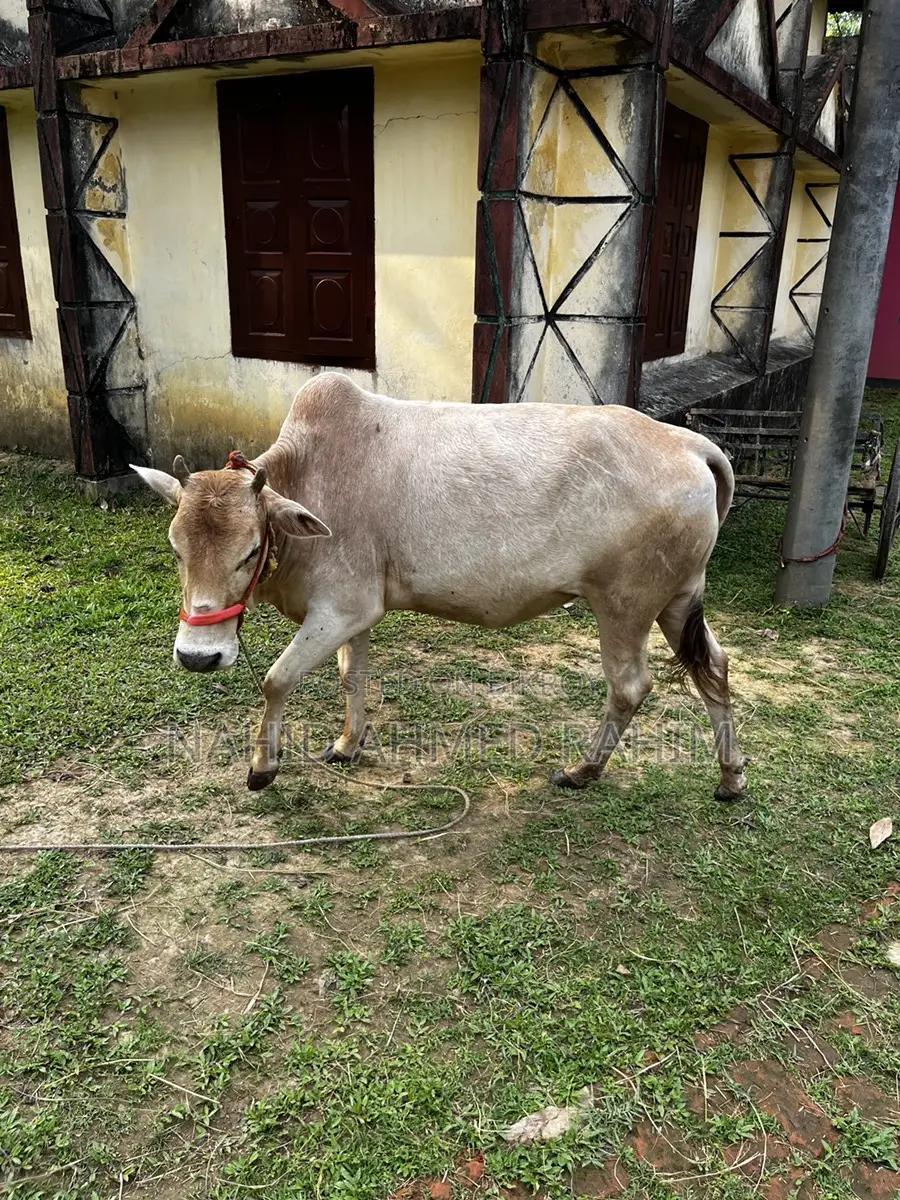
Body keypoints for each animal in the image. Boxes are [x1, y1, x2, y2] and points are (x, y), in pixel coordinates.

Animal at [133, 373, 748, 801]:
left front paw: (263, 767)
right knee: (712, 668)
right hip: (678, 599)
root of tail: (690, 443)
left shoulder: (341, 608)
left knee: (630, 686)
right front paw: (348, 744)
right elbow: (352, 675)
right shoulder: (355, 614)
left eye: (251, 550)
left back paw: (582, 770)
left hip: (625, 605)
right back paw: (730, 777)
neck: (308, 473)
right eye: (176, 549)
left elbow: (276, 680)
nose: (198, 656)